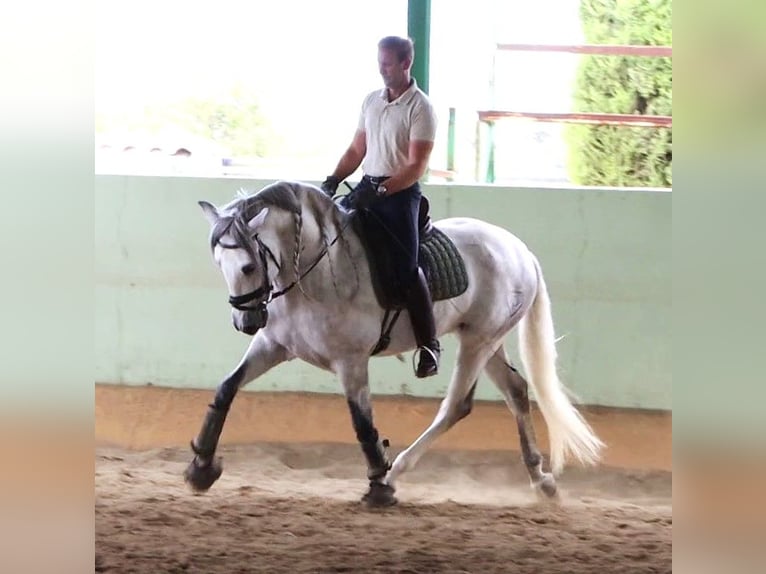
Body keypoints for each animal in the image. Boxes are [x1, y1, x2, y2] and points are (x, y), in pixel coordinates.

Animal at [184, 181, 608, 508]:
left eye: (248, 266)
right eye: (219, 265)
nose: (246, 322)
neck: (316, 272)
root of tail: (521, 250)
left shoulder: (351, 361)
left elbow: (362, 423)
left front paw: (377, 485)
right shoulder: (273, 346)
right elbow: (226, 388)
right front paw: (201, 468)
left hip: (479, 341)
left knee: (455, 406)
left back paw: (394, 474)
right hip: (487, 339)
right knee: (516, 391)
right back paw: (541, 480)